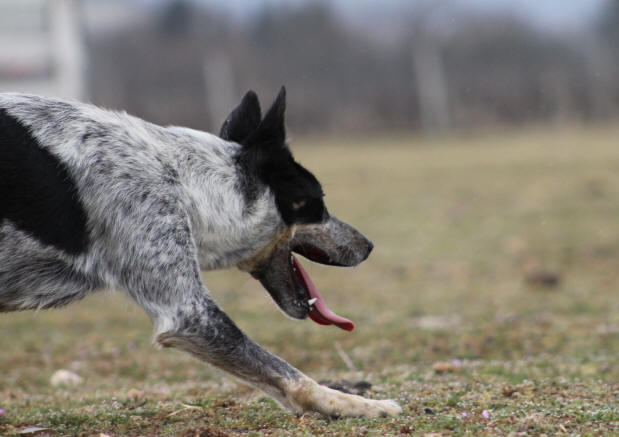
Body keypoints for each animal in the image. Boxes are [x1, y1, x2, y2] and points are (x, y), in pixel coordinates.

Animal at [0, 87, 402, 416]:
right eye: (317, 204)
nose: (368, 245)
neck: (183, 180)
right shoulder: (188, 314)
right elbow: (284, 371)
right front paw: (356, 403)